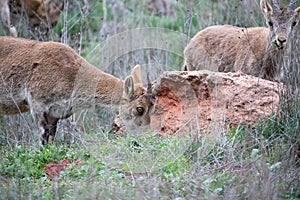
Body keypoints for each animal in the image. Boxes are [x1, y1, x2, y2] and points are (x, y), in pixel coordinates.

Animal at [0, 36, 155, 145]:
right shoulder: (36, 103)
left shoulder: (55, 113)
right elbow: (43, 139)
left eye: (153, 104)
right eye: (139, 108)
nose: (148, 133)